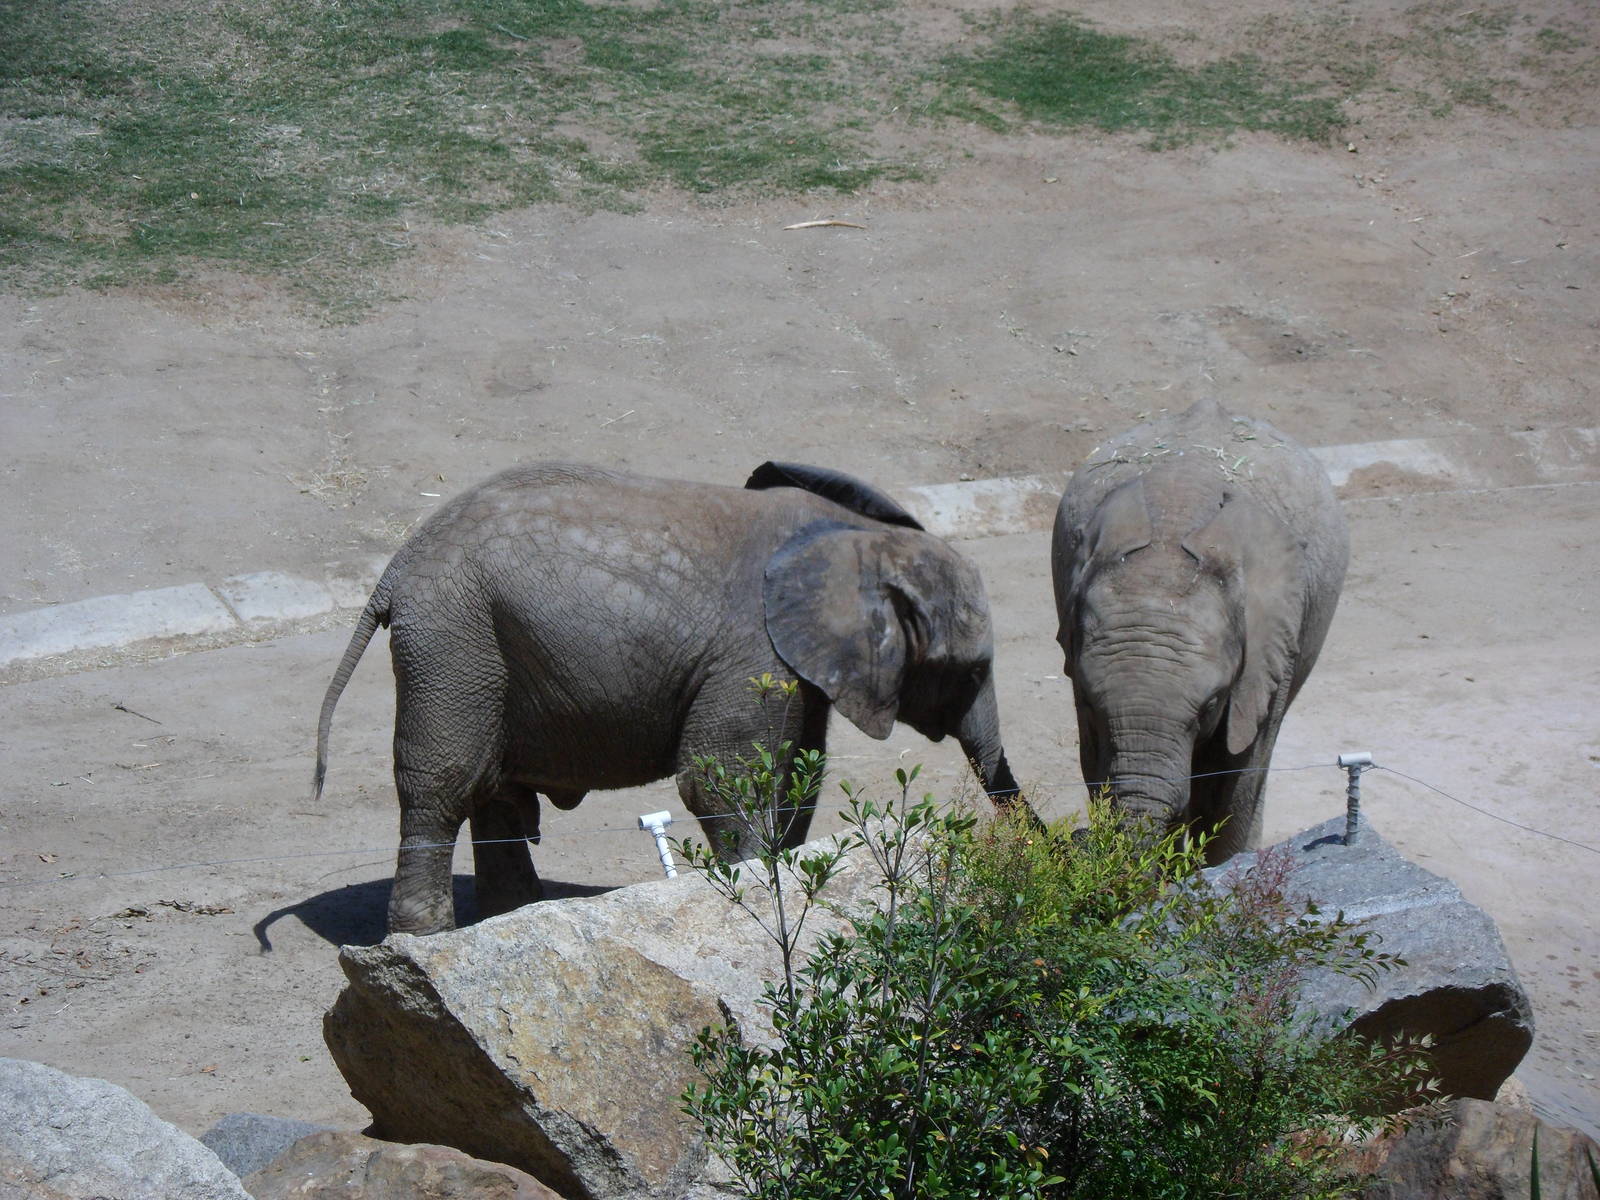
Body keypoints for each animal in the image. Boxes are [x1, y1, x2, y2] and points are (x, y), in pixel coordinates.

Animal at [315, 460, 1038, 934]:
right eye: (968, 672)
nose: (1044, 846)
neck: (856, 536)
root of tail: (394, 570)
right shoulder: (752, 650)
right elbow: (719, 778)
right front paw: (752, 892)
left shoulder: (793, 667)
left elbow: (798, 776)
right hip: (452, 641)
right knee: (444, 786)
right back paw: (425, 936)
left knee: (491, 793)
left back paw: (514, 919)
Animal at [1051, 399, 1348, 865]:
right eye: (1089, 699)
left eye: (1210, 704)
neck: (1171, 530)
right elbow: (1096, 767)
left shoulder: (1272, 646)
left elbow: (1233, 784)